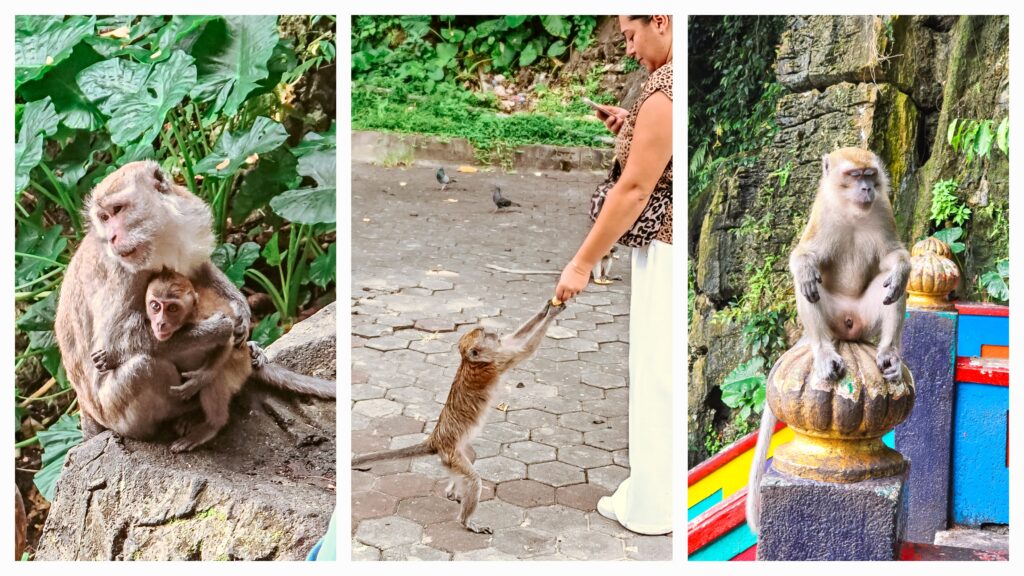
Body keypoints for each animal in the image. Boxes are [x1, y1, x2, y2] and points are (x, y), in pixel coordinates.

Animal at [55, 161, 249, 438]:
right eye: (104, 218)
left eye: (117, 210)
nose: (112, 238)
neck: (161, 235)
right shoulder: (125, 273)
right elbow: (115, 339)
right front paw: (219, 329)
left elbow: (199, 270)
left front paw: (242, 310)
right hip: (116, 413)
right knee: (144, 368)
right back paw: (185, 411)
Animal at [92, 266, 335, 450]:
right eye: (155, 306)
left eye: (172, 308)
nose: (160, 323)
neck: (187, 321)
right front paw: (110, 356)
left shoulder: (205, 317)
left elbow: (225, 342)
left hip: (236, 370)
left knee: (216, 380)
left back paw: (211, 424)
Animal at [350, 297, 561, 532]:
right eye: (485, 334)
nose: (495, 332)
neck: (473, 361)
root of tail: (436, 439)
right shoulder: (498, 361)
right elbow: (525, 348)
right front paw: (552, 313)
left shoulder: (497, 353)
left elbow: (516, 339)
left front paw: (546, 309)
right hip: (452, 455)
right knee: (474, 480)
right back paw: (466, 521)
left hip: (454, 454)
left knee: (470, 460)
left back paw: (452, 490)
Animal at [749, 146, 909, 528]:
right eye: (854, 175)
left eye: (869, 174)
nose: (866, 188)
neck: (851, 210)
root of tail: (847, 328)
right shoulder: (821, 211)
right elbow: (804, 256)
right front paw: (805, 266)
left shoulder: (883, 207)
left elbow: (894, 257)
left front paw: (900, 269)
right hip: (832, 319)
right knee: (809, 287)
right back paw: (823, 352)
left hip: (864, 318)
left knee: (891, 292)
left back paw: (889, 354)